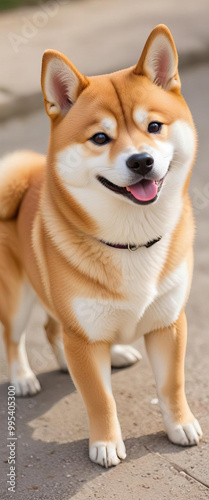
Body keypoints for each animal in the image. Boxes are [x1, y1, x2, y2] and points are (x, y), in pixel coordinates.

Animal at [0, 25, 202, 466]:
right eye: (99, 137)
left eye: (154, 127)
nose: (141, 161)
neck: (132, 242)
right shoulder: (83, 336)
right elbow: (99, 398)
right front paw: (106, 443)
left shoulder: (168, 323)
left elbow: (172, 385)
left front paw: (180, 424)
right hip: (19, 297)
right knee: (16, 337)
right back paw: (23, 377)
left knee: (53, 328)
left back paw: (107, 354)